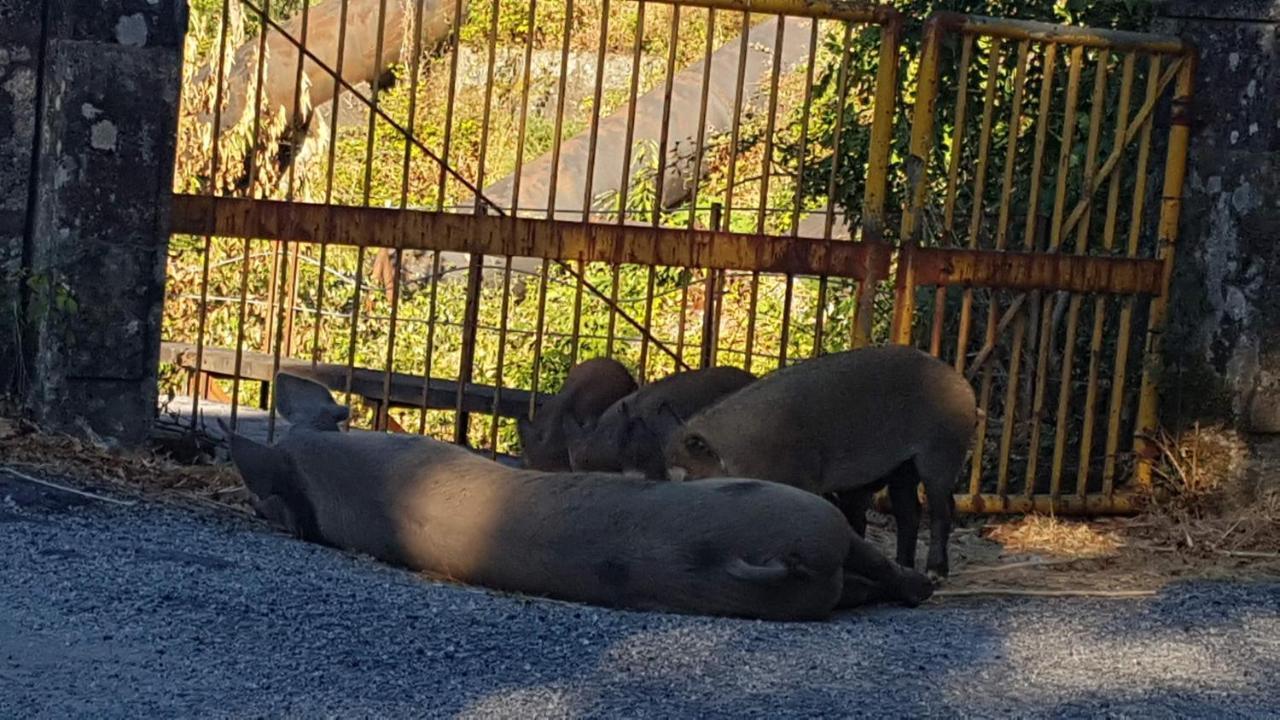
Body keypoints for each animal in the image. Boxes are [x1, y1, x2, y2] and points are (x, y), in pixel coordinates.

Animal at [665, 345, 972, 573]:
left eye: (691, 477)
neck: (736, 453)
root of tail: (963, 384)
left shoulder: (802, 477)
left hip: (941, 454)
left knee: (942, 509)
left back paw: (934, 573)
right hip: (903, 467)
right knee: (909, 511)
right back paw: (904, 565)